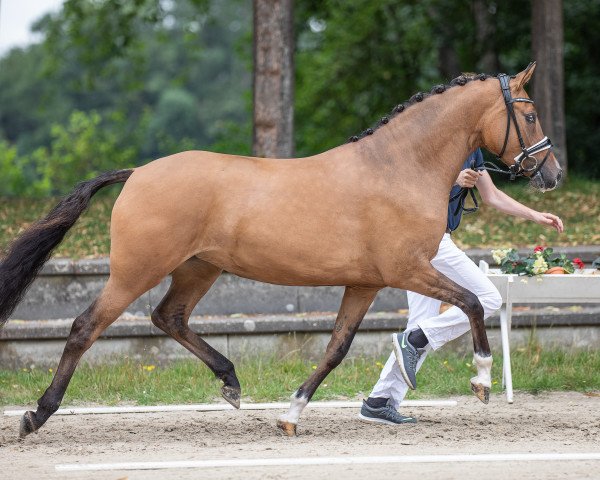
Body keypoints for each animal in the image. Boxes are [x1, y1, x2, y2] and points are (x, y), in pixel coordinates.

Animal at [0, 62, 564, 438]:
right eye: (531, 115)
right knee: (86, 327)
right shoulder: (407, 269)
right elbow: (471, 304)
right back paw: (36, 415)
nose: (553, 174)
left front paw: (290, 414)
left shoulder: (365, 282)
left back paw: (231, 383)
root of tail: (137, 173)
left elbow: (336, 348)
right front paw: (482, 380)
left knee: (170, 317)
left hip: (198, 269)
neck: (398, 167)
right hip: (137, 270)